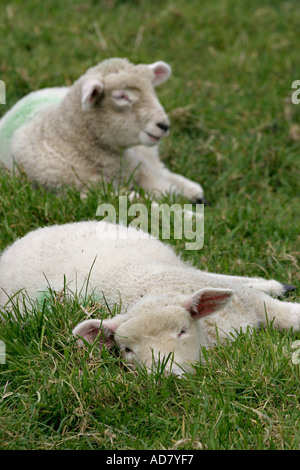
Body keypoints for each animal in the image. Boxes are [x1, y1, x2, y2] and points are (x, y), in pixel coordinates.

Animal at [0, 57, 205, 202]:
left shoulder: (138, 167)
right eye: (121, 96)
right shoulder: (82, 192)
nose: (164, 125)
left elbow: (165, 190)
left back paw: (193, 191)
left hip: (143, 153)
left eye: (152, 90)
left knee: (160, 167)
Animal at [1, 222, 298, 376]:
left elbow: (279, 311)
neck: (151, 287)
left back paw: (275, 285)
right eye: (127, 350)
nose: (164, 376)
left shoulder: (243, 302)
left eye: (183, 331)